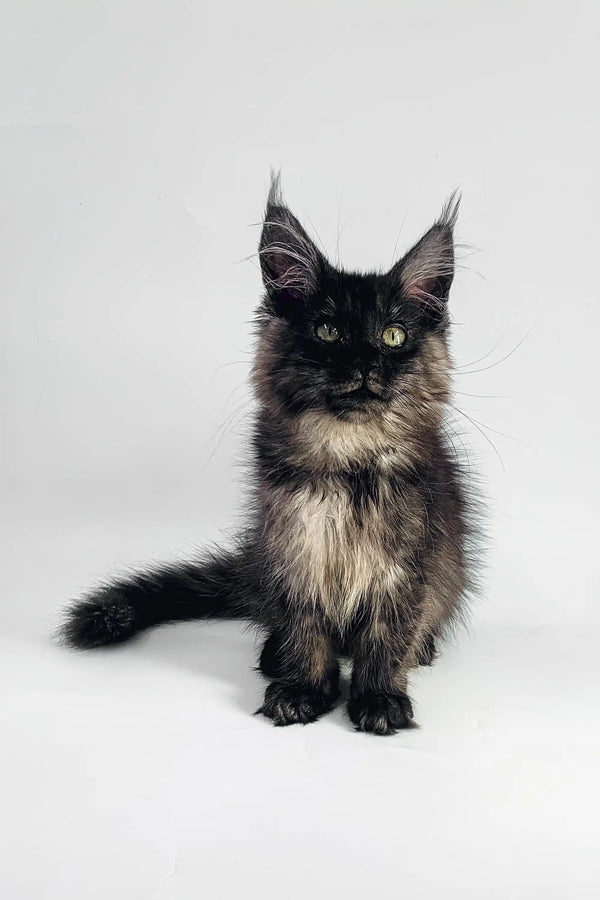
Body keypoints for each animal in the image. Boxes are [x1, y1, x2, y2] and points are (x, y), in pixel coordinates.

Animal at [58, 179, 476, 736]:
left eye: (393, 335)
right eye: (328, 331)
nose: (365, 362)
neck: (345, 461)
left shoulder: (408, 564)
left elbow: (388, 636)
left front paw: (379, 698)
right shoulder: (292, 550)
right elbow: (304, 629)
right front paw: (303, 689)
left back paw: (423, 649)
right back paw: (273, 655)